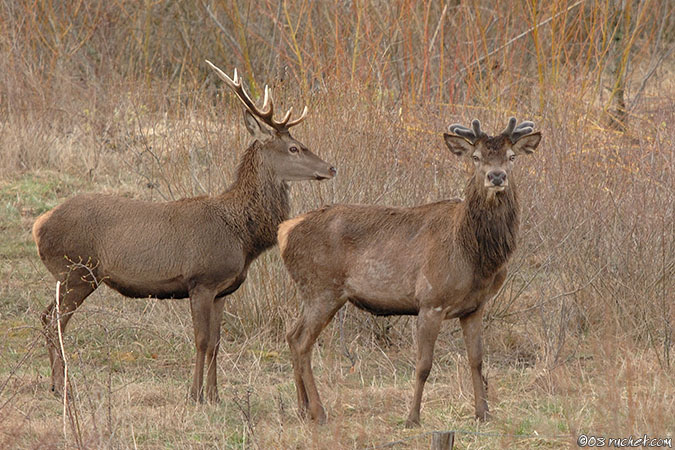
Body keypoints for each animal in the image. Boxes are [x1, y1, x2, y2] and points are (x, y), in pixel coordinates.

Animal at [33, 61, 336, 402]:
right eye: (294, 147)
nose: (330, 167)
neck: (243, 237)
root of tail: (38, 225)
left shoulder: (223, 290)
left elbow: (216, 342)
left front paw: (215, 395)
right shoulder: (201, 279)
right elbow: (201, 340)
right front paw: (195, 394)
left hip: (72, 276)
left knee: (48, 318)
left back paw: (58, 385)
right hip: (77, 271)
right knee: (53, 321)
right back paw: (63, 388)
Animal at [278, 116, 540, 426]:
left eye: (511, 157)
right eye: (476, 157)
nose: (496, 177)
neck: (473, 255)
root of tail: (284, 231)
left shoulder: (475, 307)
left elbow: (476, 360)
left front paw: (483, 413)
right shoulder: (430, 300)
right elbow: (424, 365)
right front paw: (413, 417)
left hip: (312, 292)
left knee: (292, 335)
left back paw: (302, 408)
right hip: (322, 288)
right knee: (302, 342)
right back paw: (319, 412)